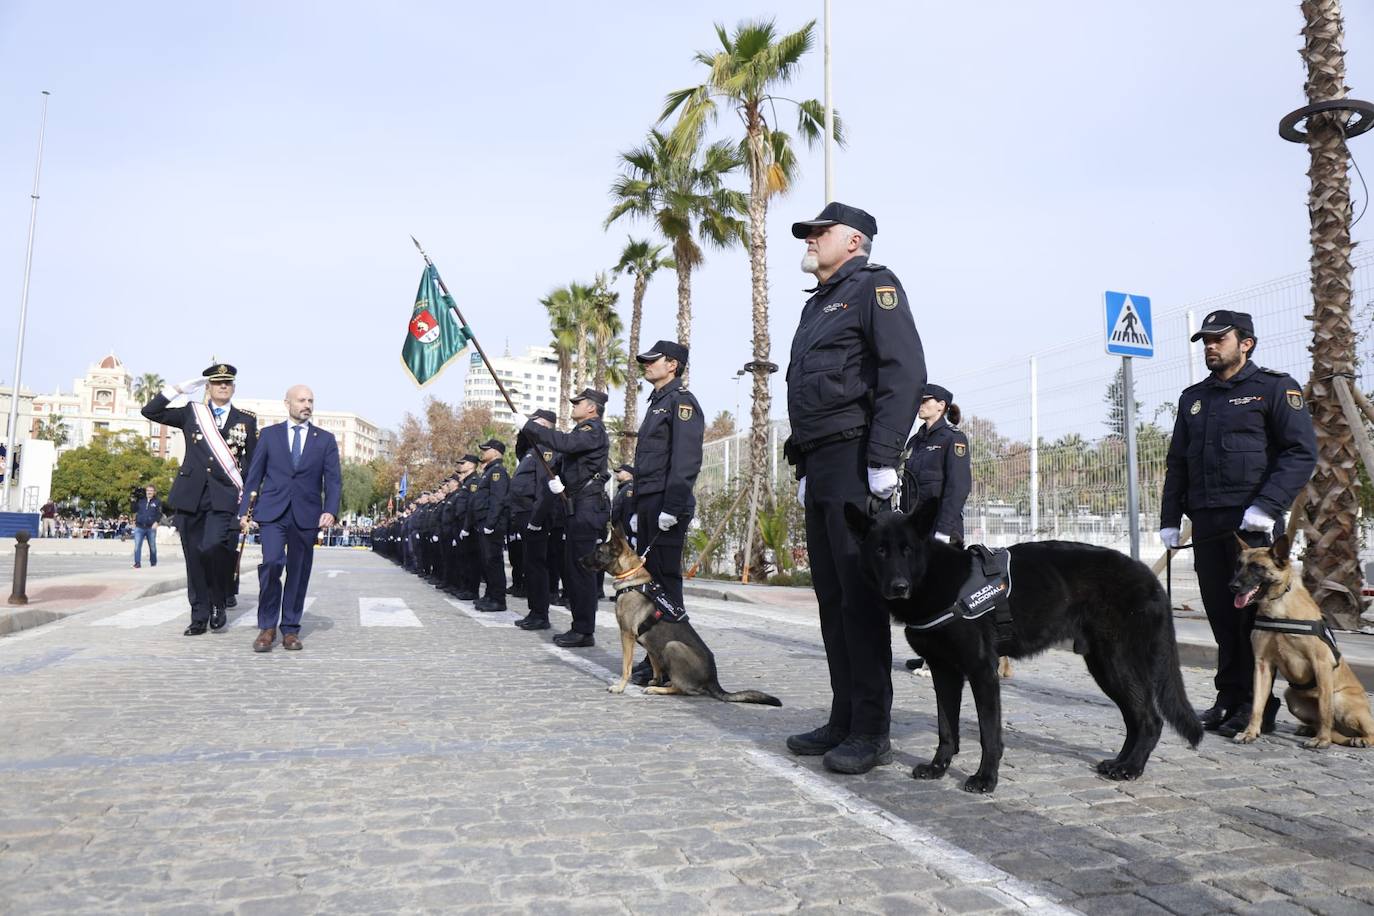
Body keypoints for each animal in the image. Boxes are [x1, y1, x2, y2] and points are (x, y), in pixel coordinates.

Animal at [577, 530, 774, 708]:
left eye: (598, 551)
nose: (579, 560)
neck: (631, 578)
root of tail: (713, 679)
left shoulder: (627, 635)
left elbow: (627, 666)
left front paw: (620, 687)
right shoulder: (649, 643)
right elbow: (655, 664)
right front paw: (654, 680)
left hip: (673, 646)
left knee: (684, 689)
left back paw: (659, 689)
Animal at [846, 502, 1203, 796]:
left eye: (907, 550)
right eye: (880, 551)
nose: (899, 587)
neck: (937, 580)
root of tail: (1149, 576)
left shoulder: (982, 673)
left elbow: (989, 734)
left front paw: (986, 779)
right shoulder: (944, 673)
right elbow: (946, 728)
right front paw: (938, 767)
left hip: (1117, 664)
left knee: (1150, 720)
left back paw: (1131, 768)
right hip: (1104, 667)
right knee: (1135, 719)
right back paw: (1119, 763)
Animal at [1231, 532, 1368, 747]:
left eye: (1257, 567)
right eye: (1239, 565)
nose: (1232, 586)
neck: (1278, 608)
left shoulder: (1321, 664)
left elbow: (1325, 709)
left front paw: (1322, 740)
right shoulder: (1262, 665)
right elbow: (1256, 706)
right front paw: (1250, 733)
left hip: (1339, 698)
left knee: (1365, 730)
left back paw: (1353, 739)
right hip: (1291, 697)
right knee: (1329, 727)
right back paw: (1310, 729)